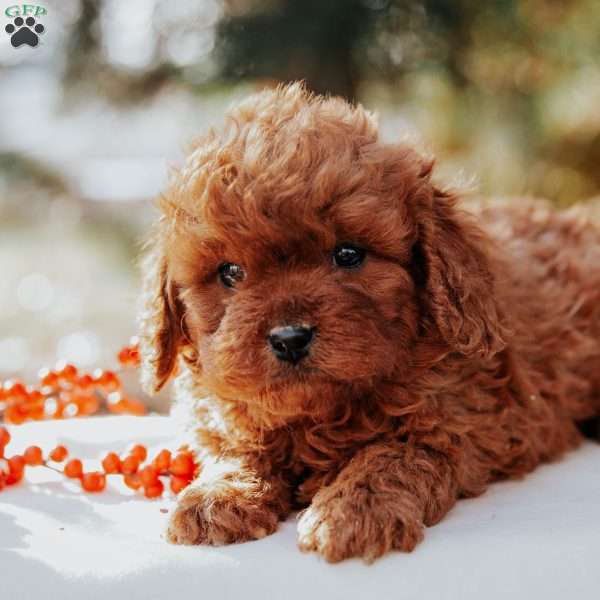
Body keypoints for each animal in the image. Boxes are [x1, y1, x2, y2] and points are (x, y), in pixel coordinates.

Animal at [139, 83, 600, 564]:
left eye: (348, 254)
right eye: (229, 272)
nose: (289, 338)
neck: (322, 413)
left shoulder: (468, 422)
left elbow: (391, 454)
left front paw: (352, 511)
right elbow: (236, 448)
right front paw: (216, 495)